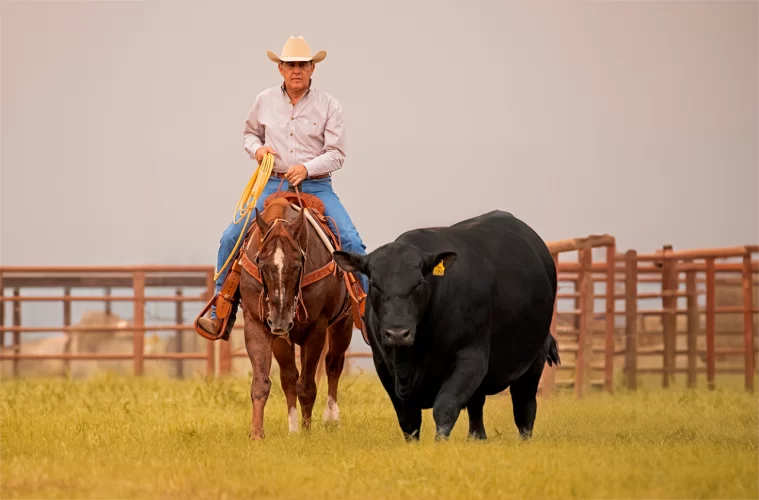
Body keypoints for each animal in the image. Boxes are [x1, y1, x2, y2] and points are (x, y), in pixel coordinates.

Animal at [238, 193, 356, 440]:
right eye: (260, 261)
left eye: (297, 262)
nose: (280, 321)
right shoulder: (259, 324)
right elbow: (265, 382)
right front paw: (257, 433)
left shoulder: (317, 328)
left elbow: (308, 385)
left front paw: (307, 432)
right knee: (290, 377)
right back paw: (293, 427)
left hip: (343, 325)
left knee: (333, 365)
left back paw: (331, 419)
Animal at [336, 211, 560, 442]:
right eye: (374, 284)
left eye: (419, 283)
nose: (398, 333)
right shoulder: (383, 365)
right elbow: (408, 418)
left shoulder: (469, 358)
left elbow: (445, 407)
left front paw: (440, 444)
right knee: (477, 405)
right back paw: (476, 438)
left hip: (535, 358)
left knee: (524, 405)